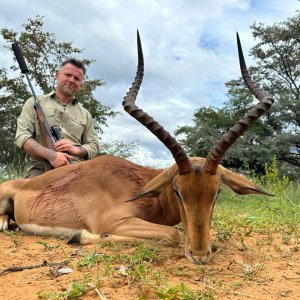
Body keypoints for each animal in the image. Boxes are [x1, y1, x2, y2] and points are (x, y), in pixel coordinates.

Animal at [0, 31, 274, 264]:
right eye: (178, 191)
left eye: (216, 192)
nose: (199, 255)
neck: (142, 187)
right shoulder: (114, 221)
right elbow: (172, 234)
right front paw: (79, 236)